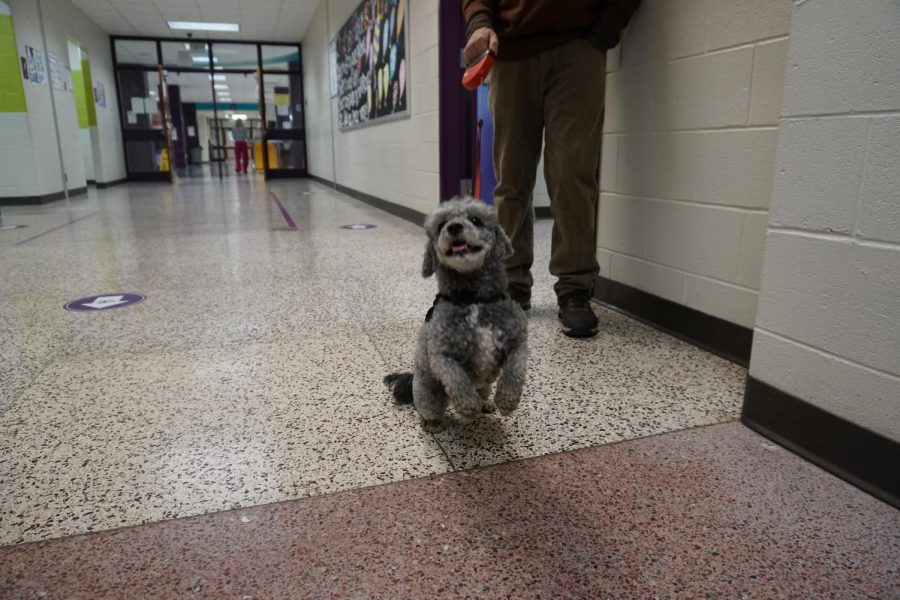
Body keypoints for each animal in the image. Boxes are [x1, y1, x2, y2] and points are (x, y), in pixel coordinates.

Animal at [384, 197, 528, 432]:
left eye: (475, 220)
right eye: (441, 225)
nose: (453, 227)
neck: (473, 298)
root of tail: (413, 377)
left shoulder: (518, 342)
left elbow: (515, 371)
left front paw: (507, 400)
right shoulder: (441, 356)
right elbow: (457, 379)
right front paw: (468, 406)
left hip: (485, 384)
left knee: (484, 391)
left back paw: (486, 403)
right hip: (428, 393)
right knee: (429, 406)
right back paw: (432, 422)